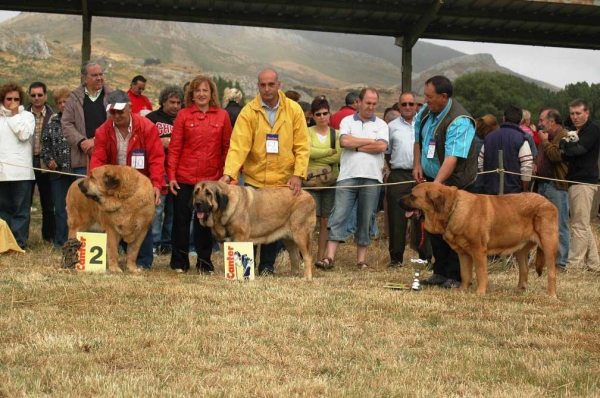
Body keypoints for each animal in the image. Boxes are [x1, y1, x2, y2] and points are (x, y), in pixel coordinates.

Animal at [400, 182, 560, 296]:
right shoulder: (463, 253)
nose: (397, 200)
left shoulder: (478, 251)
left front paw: (480, 292)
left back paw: (551, 295)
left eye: (412, 196)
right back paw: (519, 290)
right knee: (524, 269)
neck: (453, 208)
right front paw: (462, 290)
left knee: (552, 273)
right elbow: (465, 274)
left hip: (548, 244)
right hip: (520, 250)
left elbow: (481, 273)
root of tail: (549, 203)